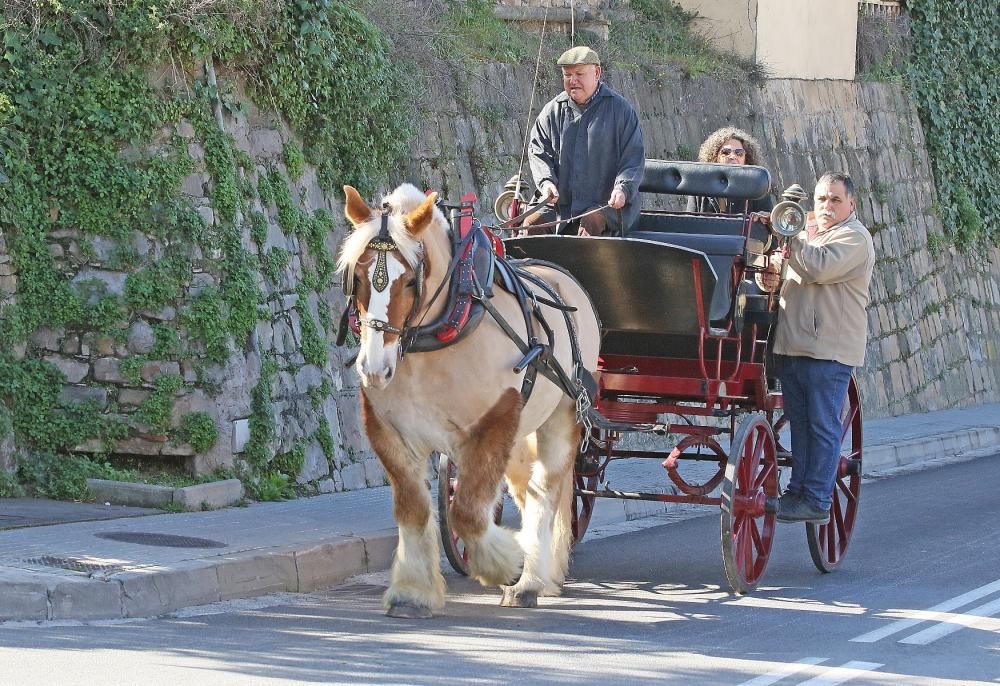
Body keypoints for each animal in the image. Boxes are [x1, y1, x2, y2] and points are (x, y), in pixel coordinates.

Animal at [336, 183, 600, 620]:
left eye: (410, 283)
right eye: (356, 277)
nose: (374, 368)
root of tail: (562, 277)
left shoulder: (490, 424)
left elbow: (467, 512)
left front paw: (509, 565)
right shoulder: (390, 432)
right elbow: (414, 509)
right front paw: (412, 592)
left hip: (561, 417)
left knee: (545, 492)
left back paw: (530, 580)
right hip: (520, 432)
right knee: (526, 490)